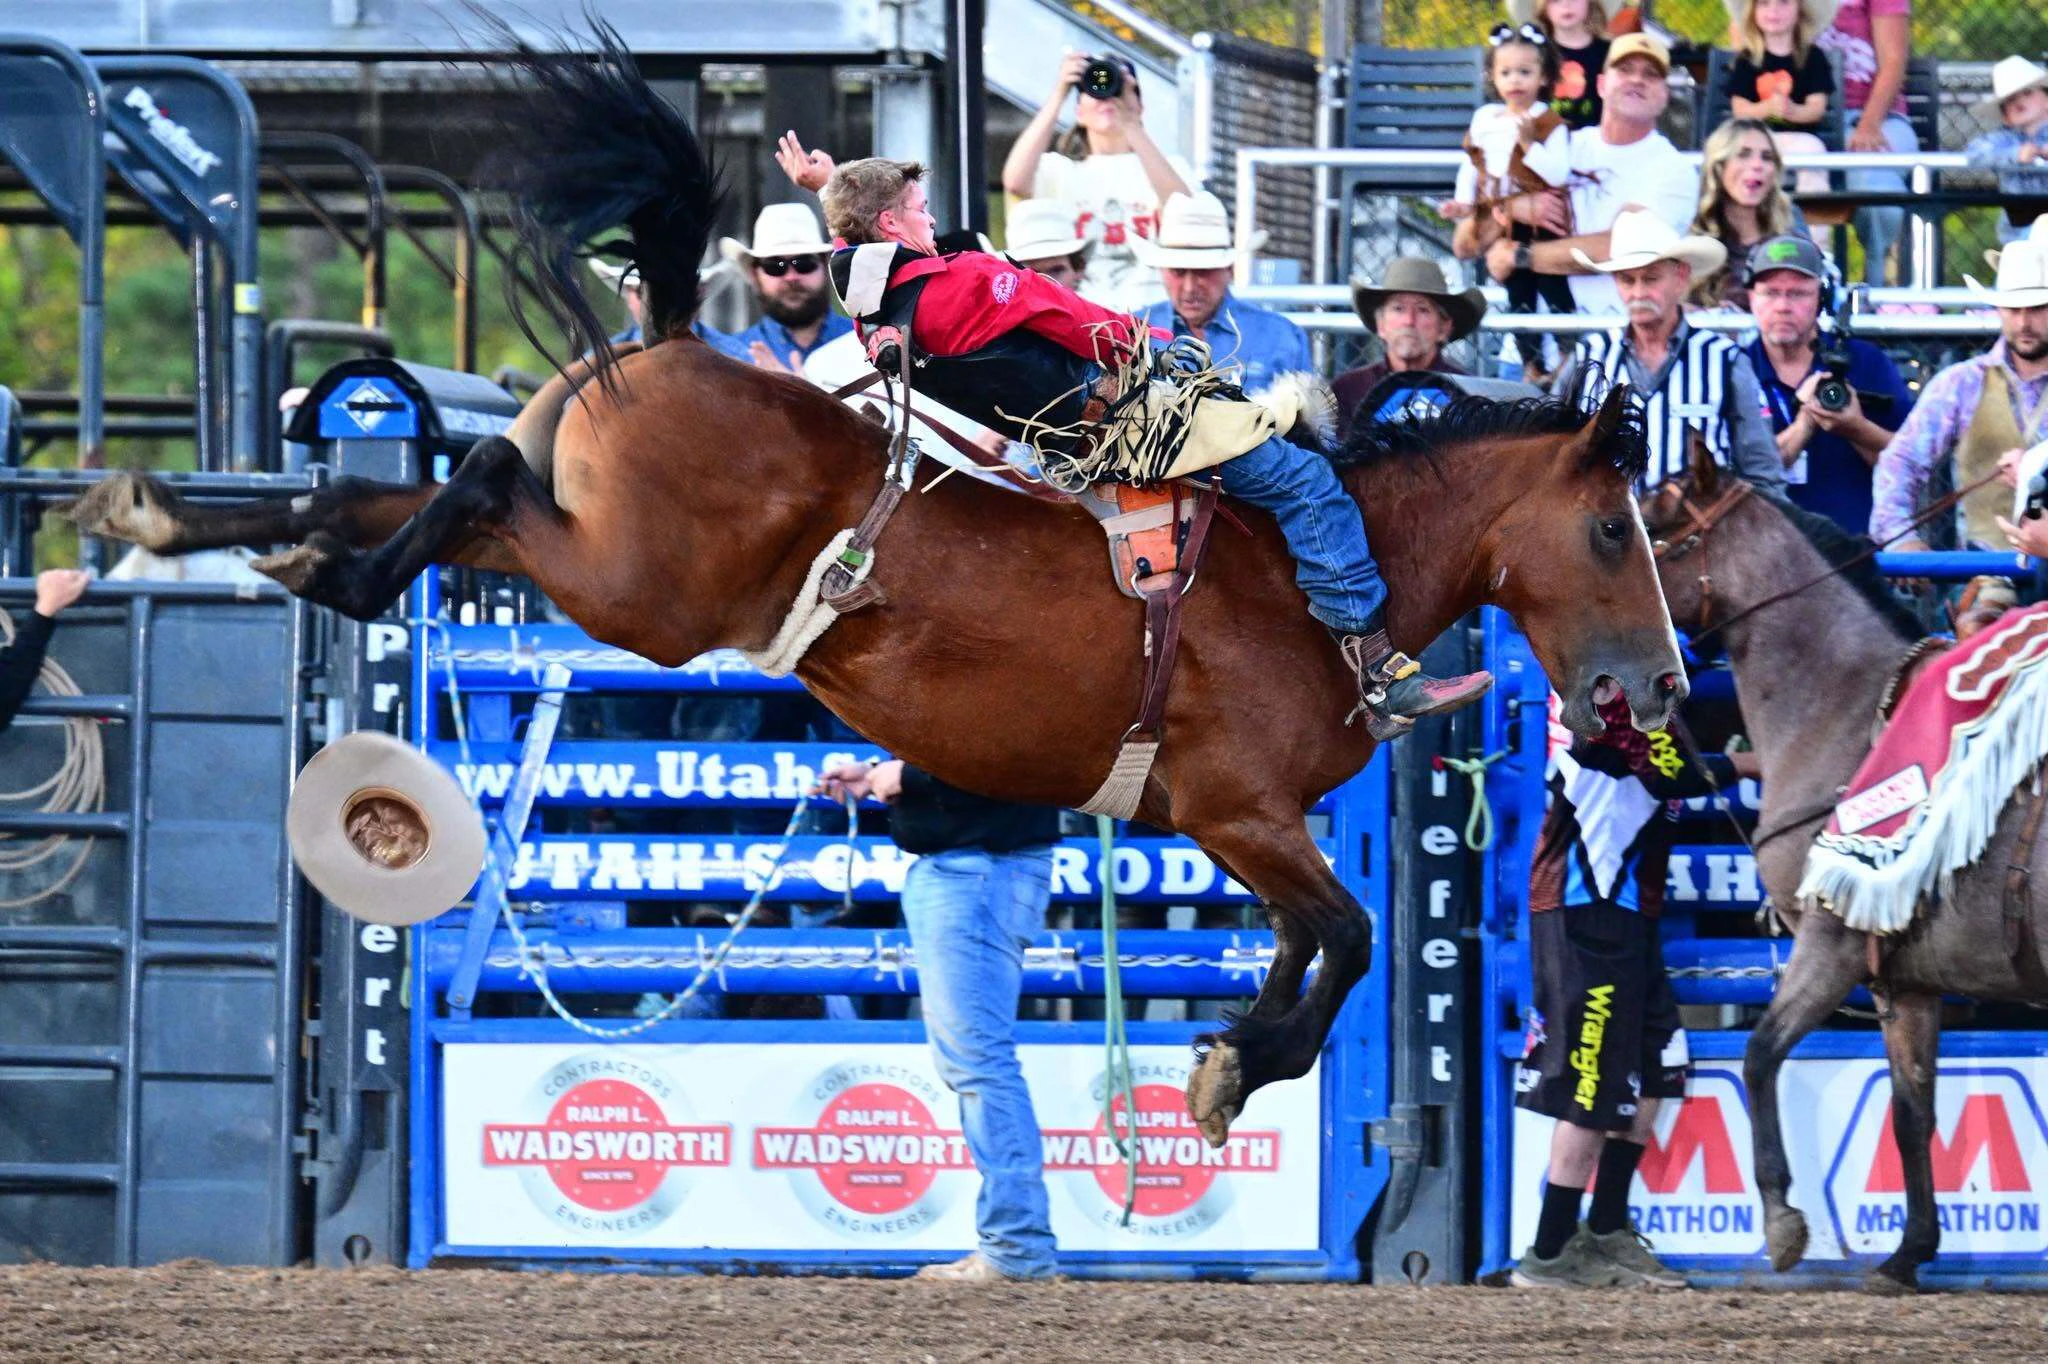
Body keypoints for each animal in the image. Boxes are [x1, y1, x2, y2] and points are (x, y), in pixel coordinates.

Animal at [65, 23, 1686, 1145]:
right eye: (1617, 529)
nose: (1664, 683)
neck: (1314, 568)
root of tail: (678, 337)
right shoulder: (1238, 809)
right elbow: (1346, 938)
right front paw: (1238, 1067)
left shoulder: (1239, 825)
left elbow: (1312, 942)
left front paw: (1228, 1058)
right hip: (628, 588)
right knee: (466, 486)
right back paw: (301, 560)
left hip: (580, 539)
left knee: (411, 489)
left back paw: (206, 522)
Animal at [1644, 444, 2048, 1292]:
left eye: (1652, 527)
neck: (1848, 711)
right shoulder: (1903, 980)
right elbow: (1911, 1109)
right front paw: (1908, 1252)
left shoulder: (1827, 944)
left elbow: (1761, 1054)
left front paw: (1782, 1221)